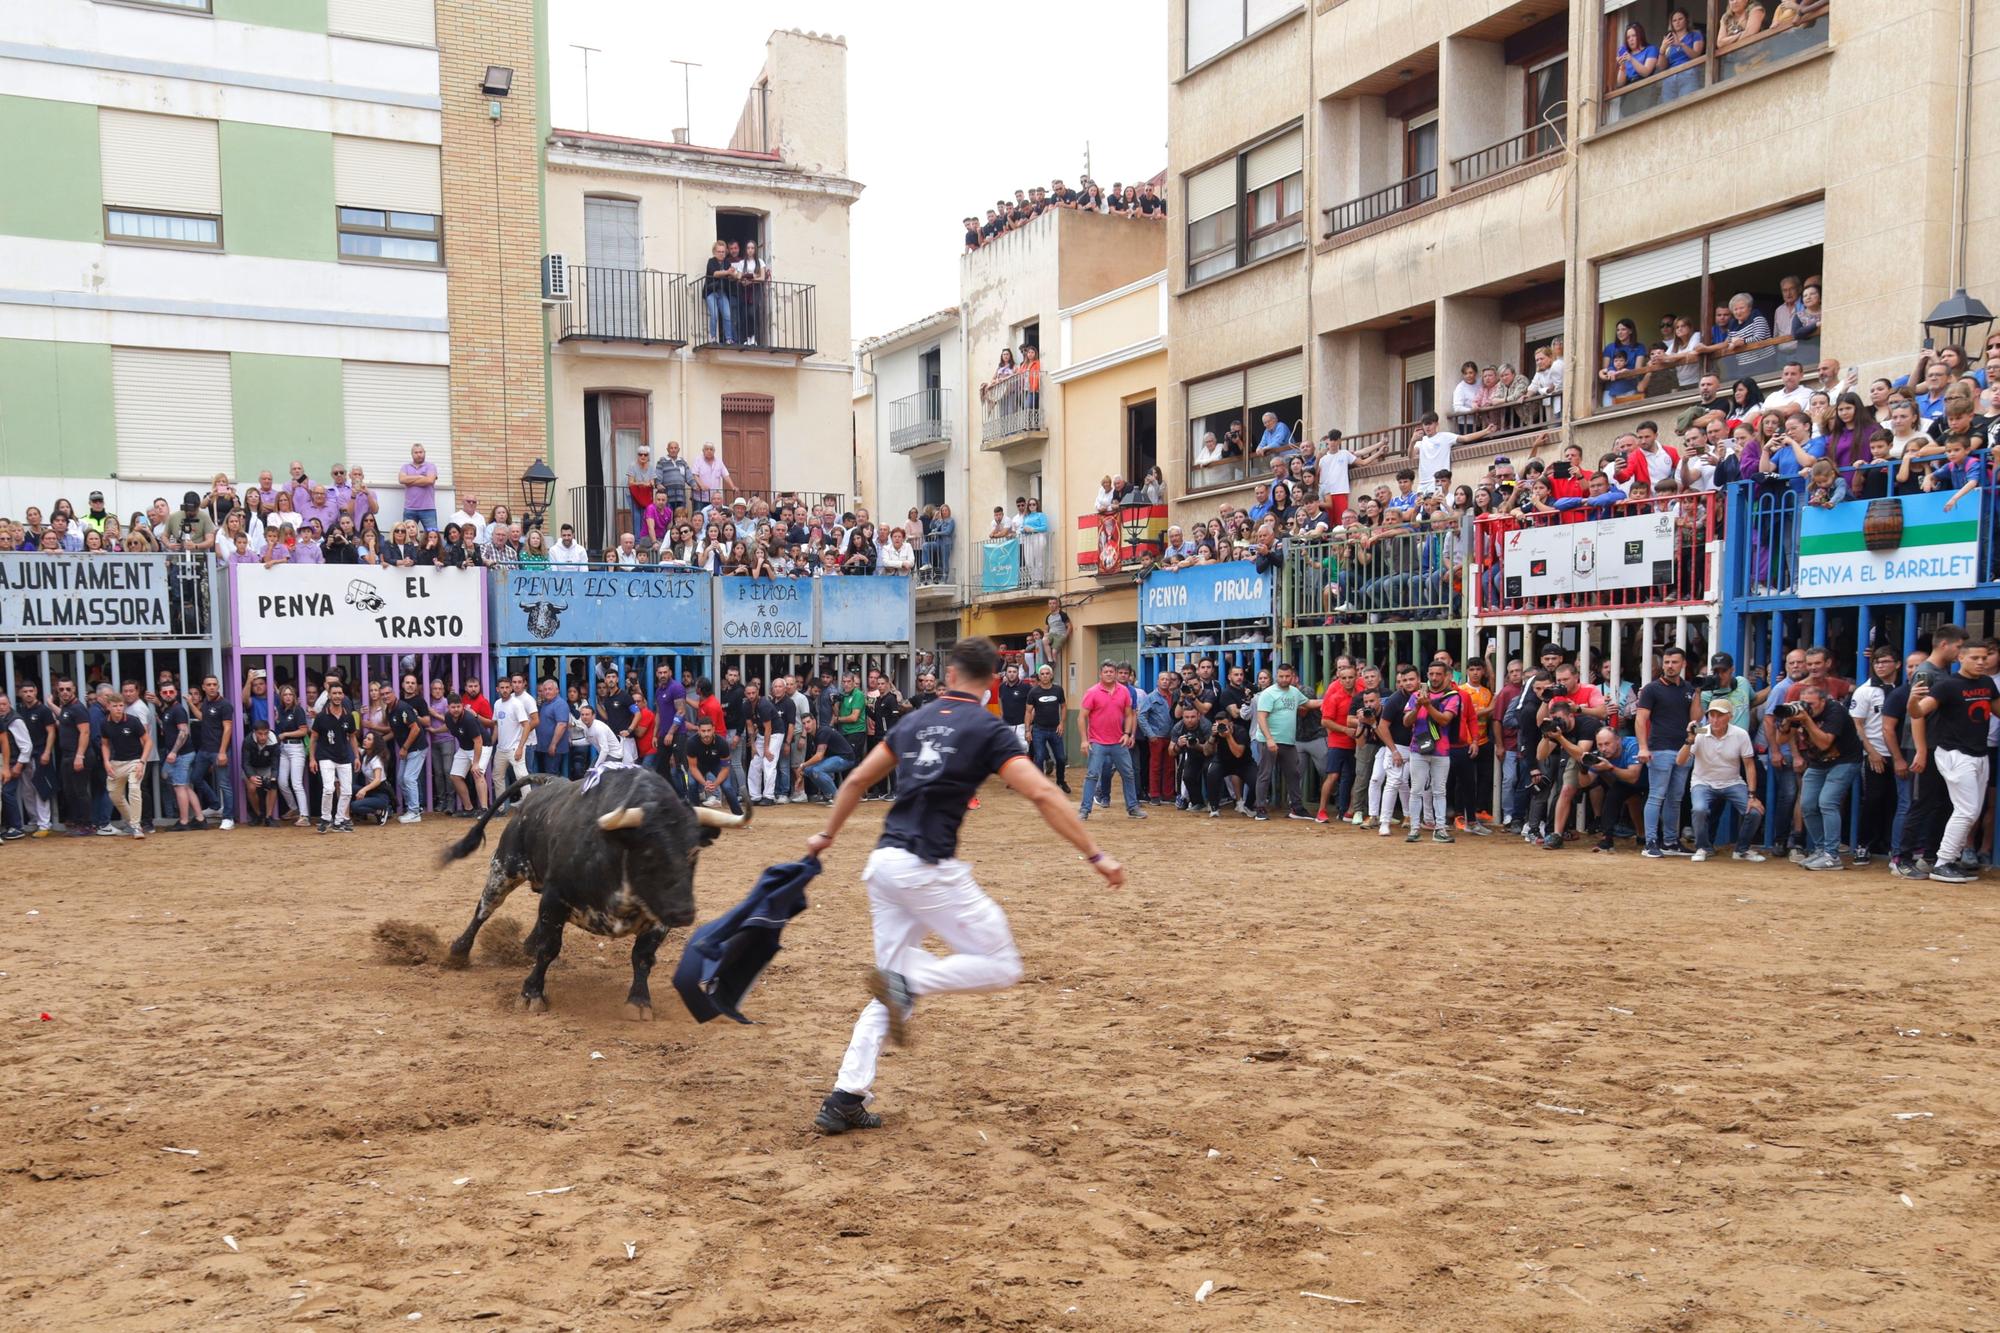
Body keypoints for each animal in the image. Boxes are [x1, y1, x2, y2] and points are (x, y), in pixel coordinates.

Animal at [440, 764, 752, 1012]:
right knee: (484, 910)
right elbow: (549, 948)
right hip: (504, 868)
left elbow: (642, 958)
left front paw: (639, 1001)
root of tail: (547, 785)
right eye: (650, 851)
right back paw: (459, 951)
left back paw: (524, 945)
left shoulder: (658, 918)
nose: (684, 913)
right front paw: (531, 994)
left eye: (693, 852)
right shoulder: (556, 897)